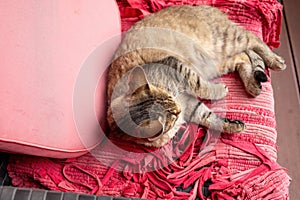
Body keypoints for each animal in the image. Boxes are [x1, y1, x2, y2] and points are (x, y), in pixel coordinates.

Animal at [106, 4, 286, 147]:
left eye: (169, 98)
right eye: (172, 114)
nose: (178, 109)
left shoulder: (177, 67)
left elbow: (200, 86)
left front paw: (220, 91)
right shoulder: (189, 104)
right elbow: (208, 116)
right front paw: (232, 126)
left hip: (226, 40)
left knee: (253, 39)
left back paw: (275, 60)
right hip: (217, 61)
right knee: (243, 57)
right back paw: (252, 84)